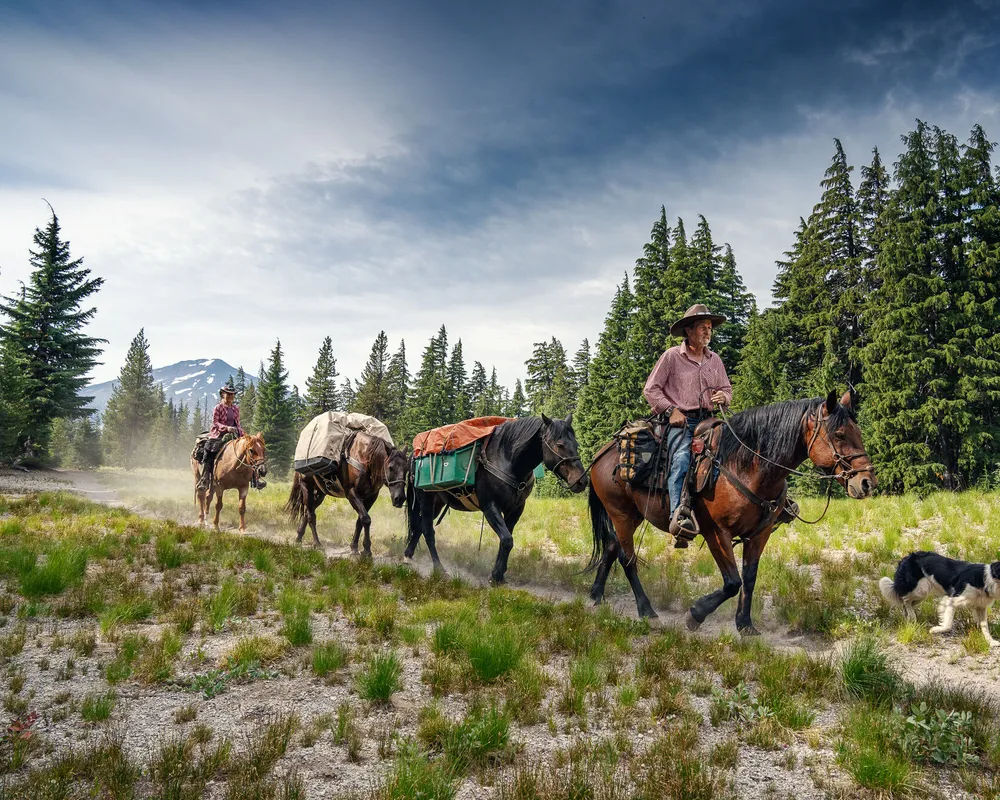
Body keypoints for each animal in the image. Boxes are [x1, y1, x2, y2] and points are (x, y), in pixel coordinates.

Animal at [406, 416, 588, 584]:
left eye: (576, 444)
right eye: (559, 445)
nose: (581, 481)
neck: (508, 460)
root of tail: (414, 456)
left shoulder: (516, 509)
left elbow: (506, 540)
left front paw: (498, 574)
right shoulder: (490, 507)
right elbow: (507, 540)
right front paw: (496, 575)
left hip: (438, 503)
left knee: (420, 526)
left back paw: (408, 555)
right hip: (426, 499)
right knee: (428, 531)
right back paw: (439, 569)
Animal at [584, 390, 876, 636]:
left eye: (858, 432)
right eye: (839, 434)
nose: (866, 482)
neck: (747, 467)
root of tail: (603, 452)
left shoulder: (759, 534)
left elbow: (749, 578)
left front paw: (745, 624)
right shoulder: (716, 532)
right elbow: (732, 582)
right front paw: (696, 614)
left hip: (634, 516)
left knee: (611, 547)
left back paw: (595, 595)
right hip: (621, 514)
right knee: (627, 558)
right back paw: (646, 610)